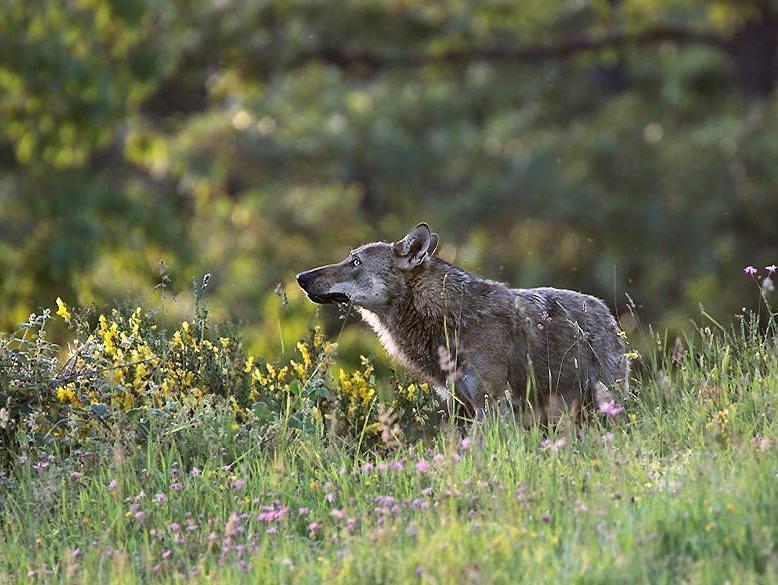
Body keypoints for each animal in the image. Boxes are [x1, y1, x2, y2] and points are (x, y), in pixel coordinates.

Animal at [297, 223, 629, 423]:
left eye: (355, 262)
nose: (301, 277)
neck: (446, 317)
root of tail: (606, 311)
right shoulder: (463, 405)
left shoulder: (489, 404)